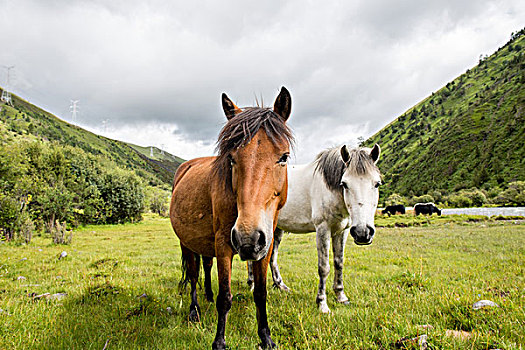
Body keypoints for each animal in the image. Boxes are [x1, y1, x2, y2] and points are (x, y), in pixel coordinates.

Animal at [170, 87, 292, 350]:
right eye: (231, 158)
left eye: (284, 157)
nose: (248, 238)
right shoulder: (224, 244)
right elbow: (225, 297)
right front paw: (219, 342)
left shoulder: (265, 247)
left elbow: (261, 293)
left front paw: (266, 337)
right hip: (187, 243)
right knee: (193, 275)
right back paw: (194, 311)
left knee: (206, 266)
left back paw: (206, 295)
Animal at [248, 144, 378, 314]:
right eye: (344, 184)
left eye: (377, 183)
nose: (363, 233)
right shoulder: (323, 229)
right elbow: (324, 267)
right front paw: (322, 304)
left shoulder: (341, 231)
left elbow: (339, 263)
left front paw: (341, 296)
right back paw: (251, 285)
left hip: (276, 230)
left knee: (272, 257)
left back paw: (280, 286)